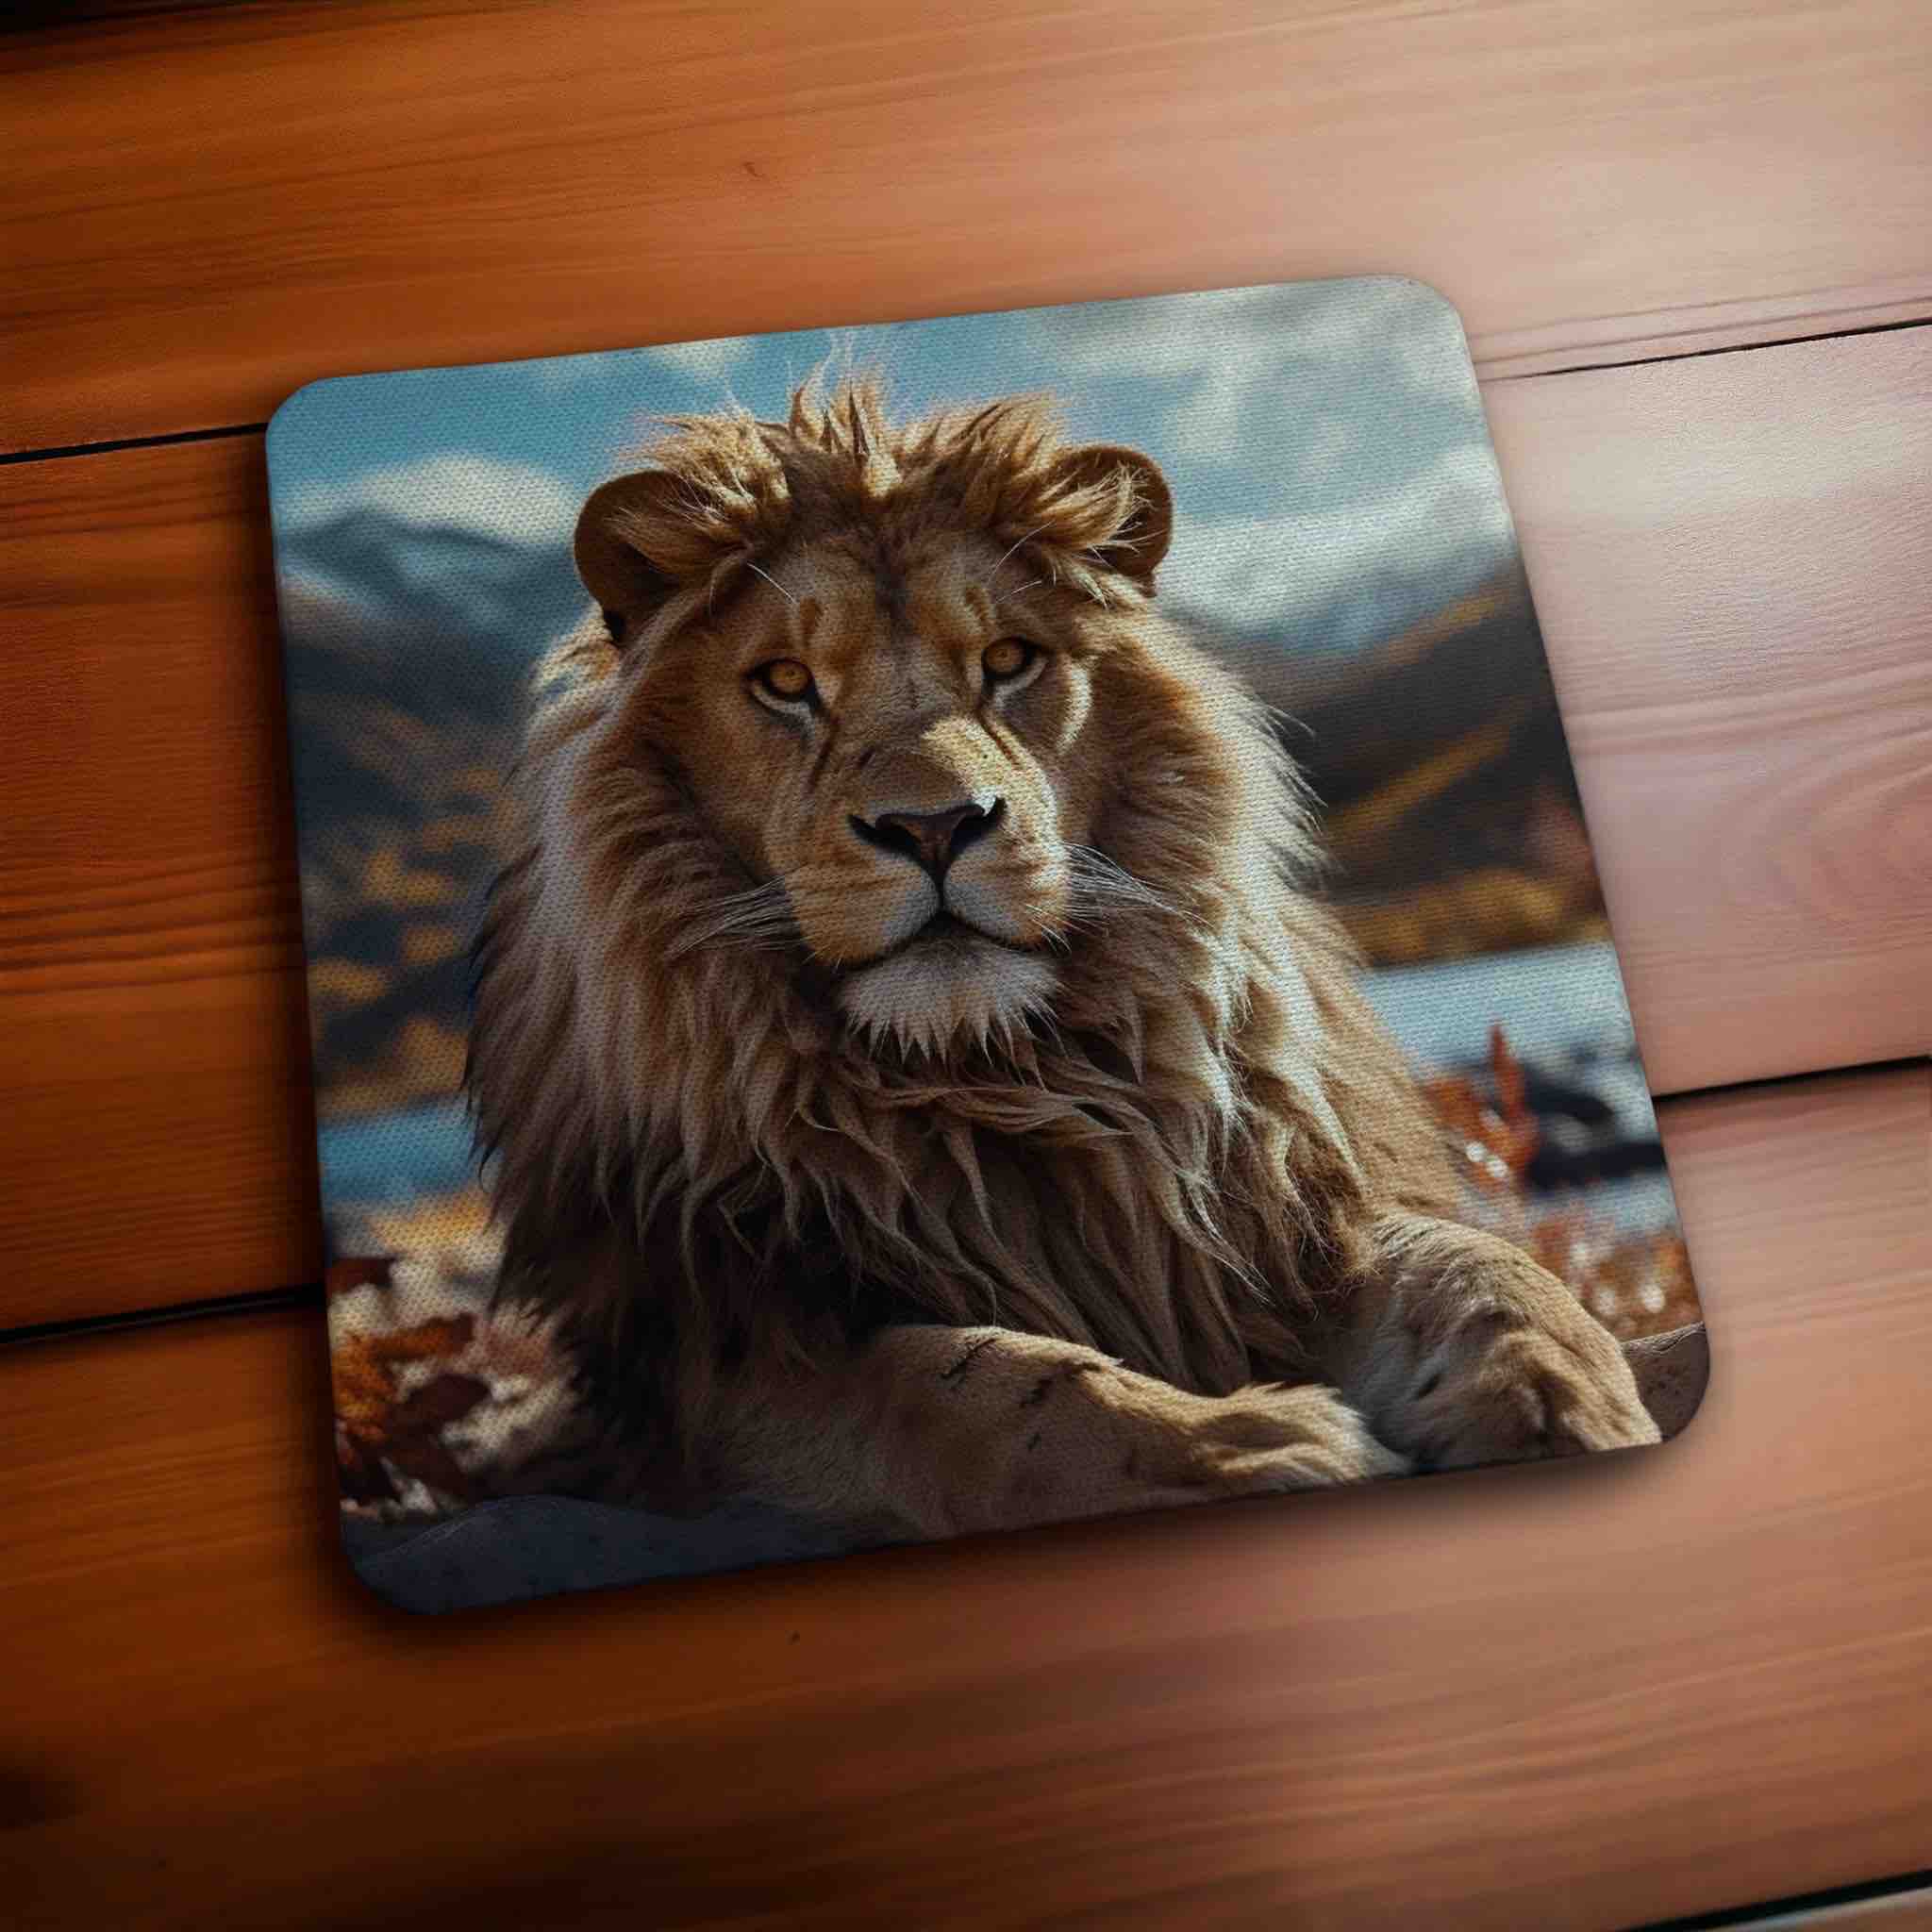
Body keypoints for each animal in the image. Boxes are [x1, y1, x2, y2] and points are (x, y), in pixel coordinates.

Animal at [466, 375, 1658, 1543]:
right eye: (784, 681)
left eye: (1008, 661)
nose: (934, 826)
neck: (997, 1078)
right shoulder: (716, 1360)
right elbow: (982, 1385)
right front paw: (1254, 1448)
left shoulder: (1276, 1232)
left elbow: (1488, 1270)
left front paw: (1554, 1400)